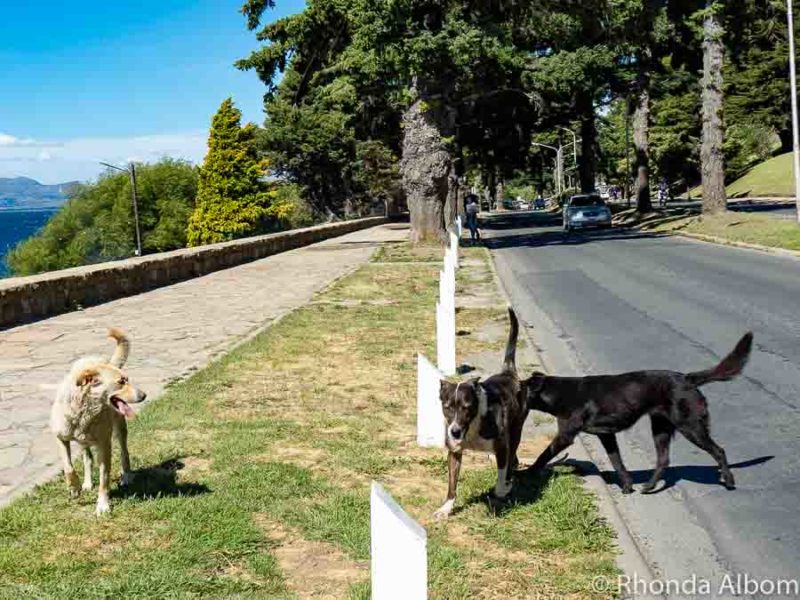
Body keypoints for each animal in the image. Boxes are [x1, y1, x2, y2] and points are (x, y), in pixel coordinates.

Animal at [50, 328, 148, 516]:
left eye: (127, 379)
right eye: (121, 382)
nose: (144, 395)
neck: (84, 409)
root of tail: (103, 361)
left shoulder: (104, 445)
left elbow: (104, 479)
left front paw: (103, 505)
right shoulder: (60, 437)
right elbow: (68, 467)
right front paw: (74, 487)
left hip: (119, 430)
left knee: (124, 453)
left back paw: (126, 476)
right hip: (83, 441)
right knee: (87, 459)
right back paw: (87, 483)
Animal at [520, 332, 752, 492]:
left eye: (519, 389)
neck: (560, 392)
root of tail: (687, 379)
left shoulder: (566, 435)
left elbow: (544, 454)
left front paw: (527, 472)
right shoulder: (606, 435)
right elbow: (617, 461)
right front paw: (626, 485)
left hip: (691, 426)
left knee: (719, 451)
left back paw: (729, 480)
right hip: (660, 428)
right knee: (663, 460)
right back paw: (649, 486)